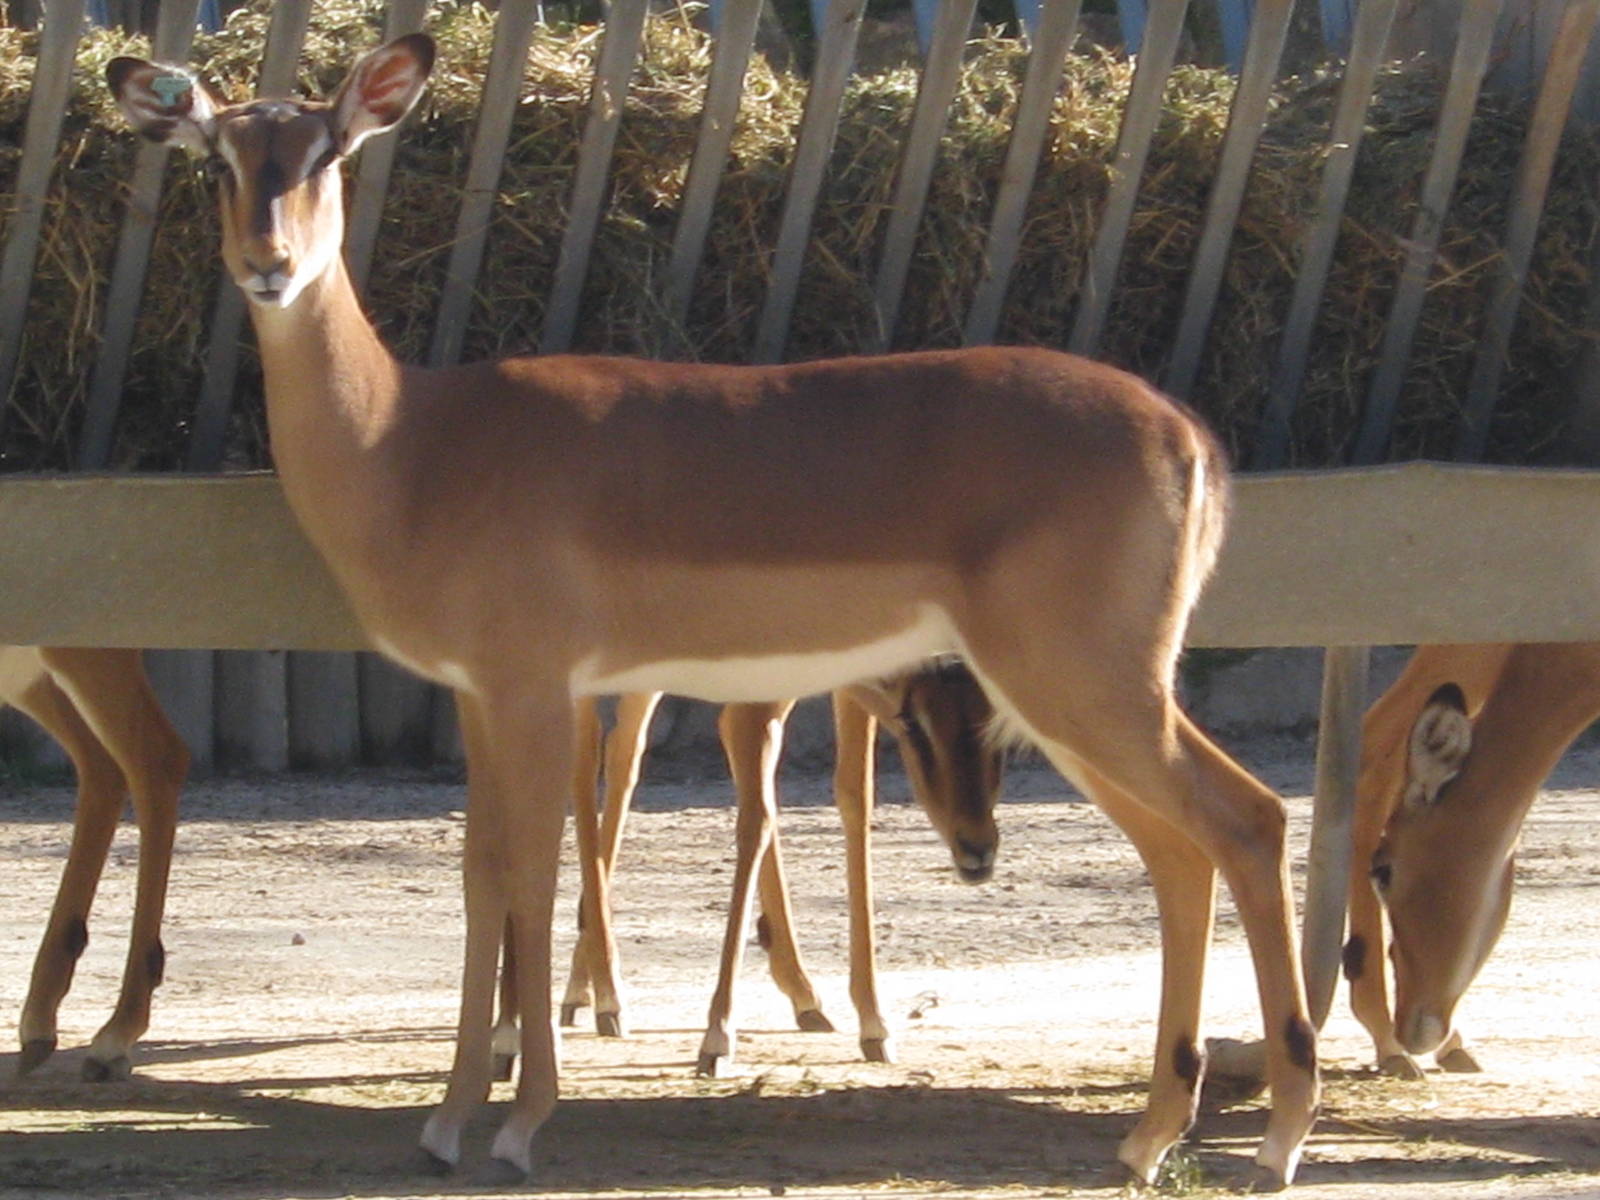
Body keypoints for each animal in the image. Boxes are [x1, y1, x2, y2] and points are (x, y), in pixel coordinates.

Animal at [531, 664, 1002, 1080]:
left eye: (996, 719)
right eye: (911, 720)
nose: (978, 848)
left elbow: (854, 798)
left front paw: (874, 1024)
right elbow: (754, 819)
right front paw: (717, 1041)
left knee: (629, 750)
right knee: (596, 749)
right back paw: (607, 997)